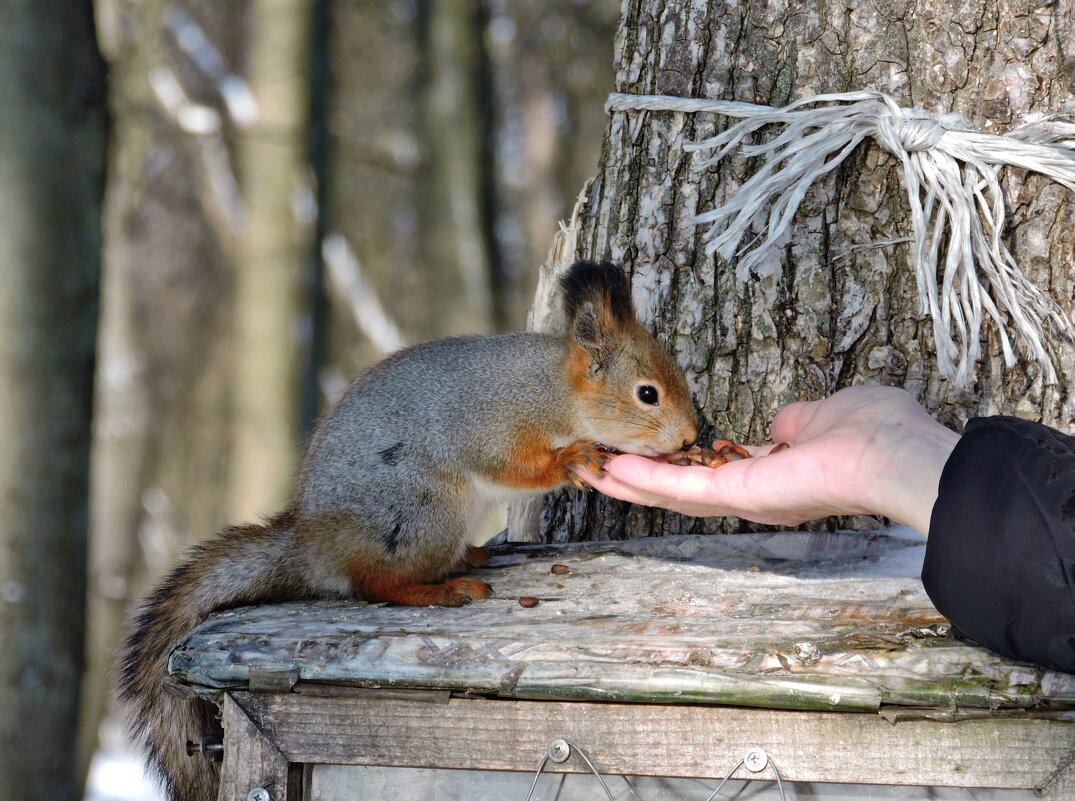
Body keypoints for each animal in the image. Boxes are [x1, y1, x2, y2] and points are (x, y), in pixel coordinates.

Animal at [117, 258, 700, 799]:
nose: (693, 437)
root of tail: (313, 543)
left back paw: (469, 557)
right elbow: (515, 466)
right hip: (425, 508)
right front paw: (574, 459)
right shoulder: (495, 427)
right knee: (378, 583)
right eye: (647, 394)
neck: (556, 390)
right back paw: (443, 590)